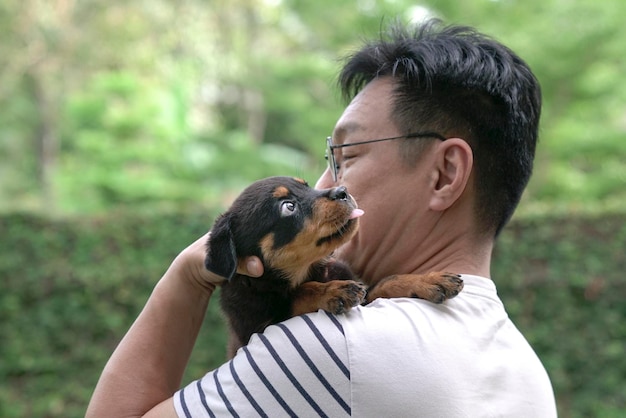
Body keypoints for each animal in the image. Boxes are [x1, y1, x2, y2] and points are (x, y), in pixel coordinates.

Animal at [207, 176, 460, 356]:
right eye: (288, 206)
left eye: (307, 186)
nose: (342, 191)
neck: (308, 270)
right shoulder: (257, 327)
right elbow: (299, 293)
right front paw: (333, 291)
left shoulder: (367, 294)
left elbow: (387, 281)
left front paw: (429, 280)